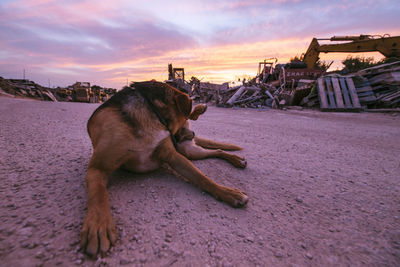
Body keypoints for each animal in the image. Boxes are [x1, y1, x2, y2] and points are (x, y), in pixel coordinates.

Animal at [79, 81, 248, 258]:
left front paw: (229, 193)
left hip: (189, 150)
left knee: (207, 136)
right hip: (189, 151)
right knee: (213, 147)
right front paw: (98, 226)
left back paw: (202, 110)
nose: (188, 134)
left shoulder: (171, 155)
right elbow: (98, 194)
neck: (152, 113)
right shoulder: (97, 169)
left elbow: (202, 178)